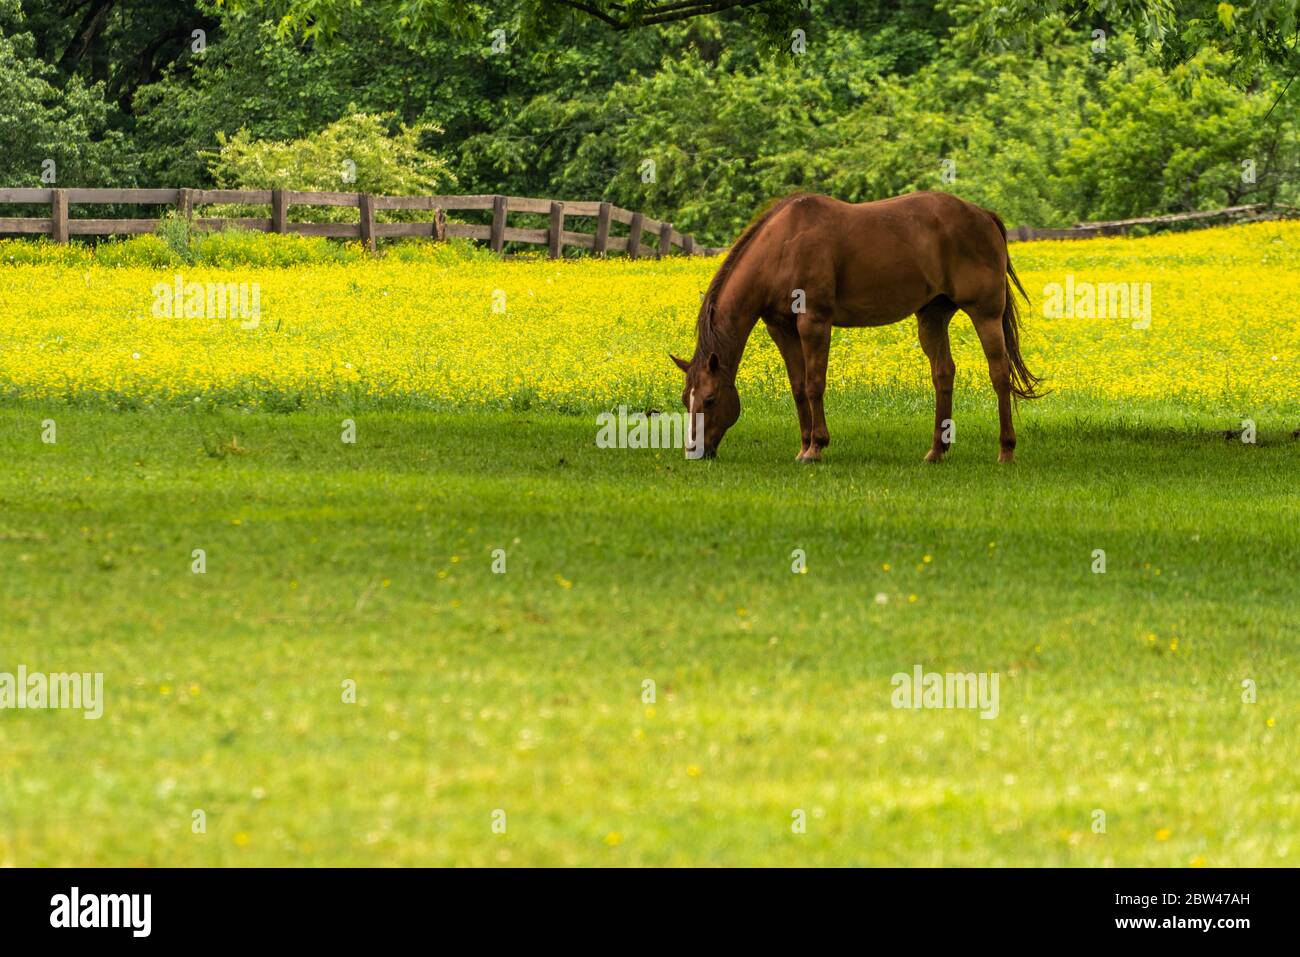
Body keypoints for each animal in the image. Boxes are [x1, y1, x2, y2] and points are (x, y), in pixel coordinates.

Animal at [670, 189, 1045, 460]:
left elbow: (814, 384)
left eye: (710, 400)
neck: (782, 247)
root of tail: (984, 216)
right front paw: (803, 445)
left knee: (1000, 374)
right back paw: (937, 451)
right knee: (943, 374)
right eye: (686, 399)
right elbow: (797, 386)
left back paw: (1006, 450)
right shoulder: (781, 328)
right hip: (933, 316)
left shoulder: (814, 323)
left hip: (985, 314)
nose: (695, 452)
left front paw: (816, 447)